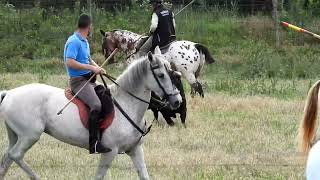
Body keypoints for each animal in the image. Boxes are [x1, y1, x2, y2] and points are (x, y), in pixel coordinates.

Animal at [0, 48, 181, 179]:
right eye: (161, 75)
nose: (177, 101)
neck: (126, 103)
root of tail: (9, 93)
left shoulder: (135, 149)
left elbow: (144, 175)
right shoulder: (110, 152)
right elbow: (99, 176)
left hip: (17, 135)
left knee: (7, 158)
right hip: (30, 135)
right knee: (15, 155)